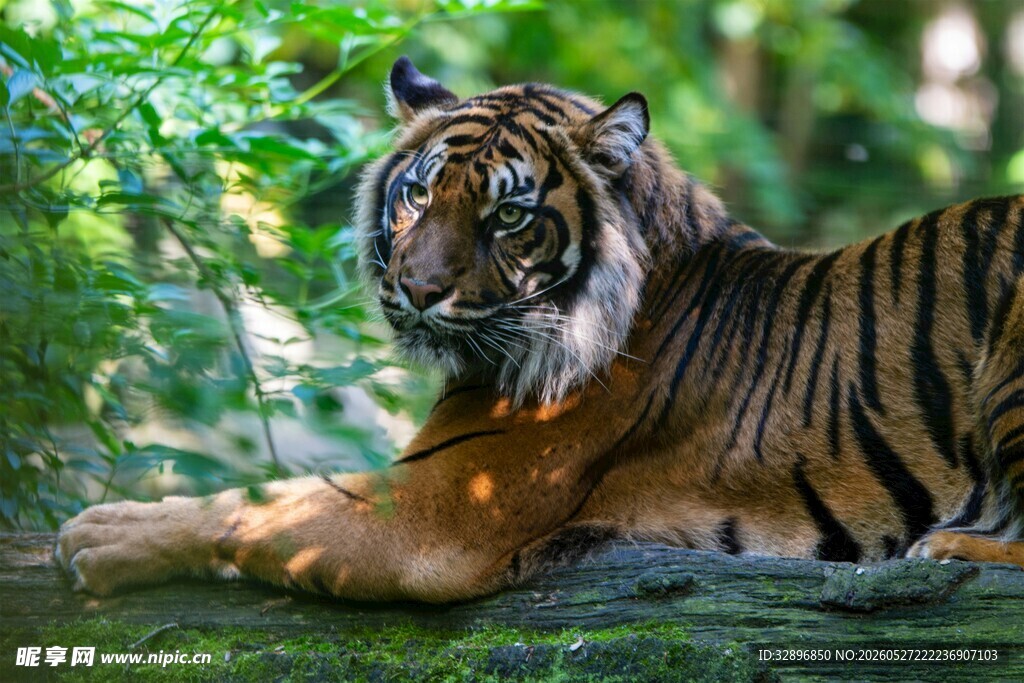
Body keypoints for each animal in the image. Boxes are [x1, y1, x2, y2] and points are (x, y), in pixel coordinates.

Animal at [56, 56, 1024, 602]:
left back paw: (946, 544)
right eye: (418, 192)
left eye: (509, 215)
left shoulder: (443, 503)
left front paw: (99, 533)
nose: (417, 289)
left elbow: (259, 504)